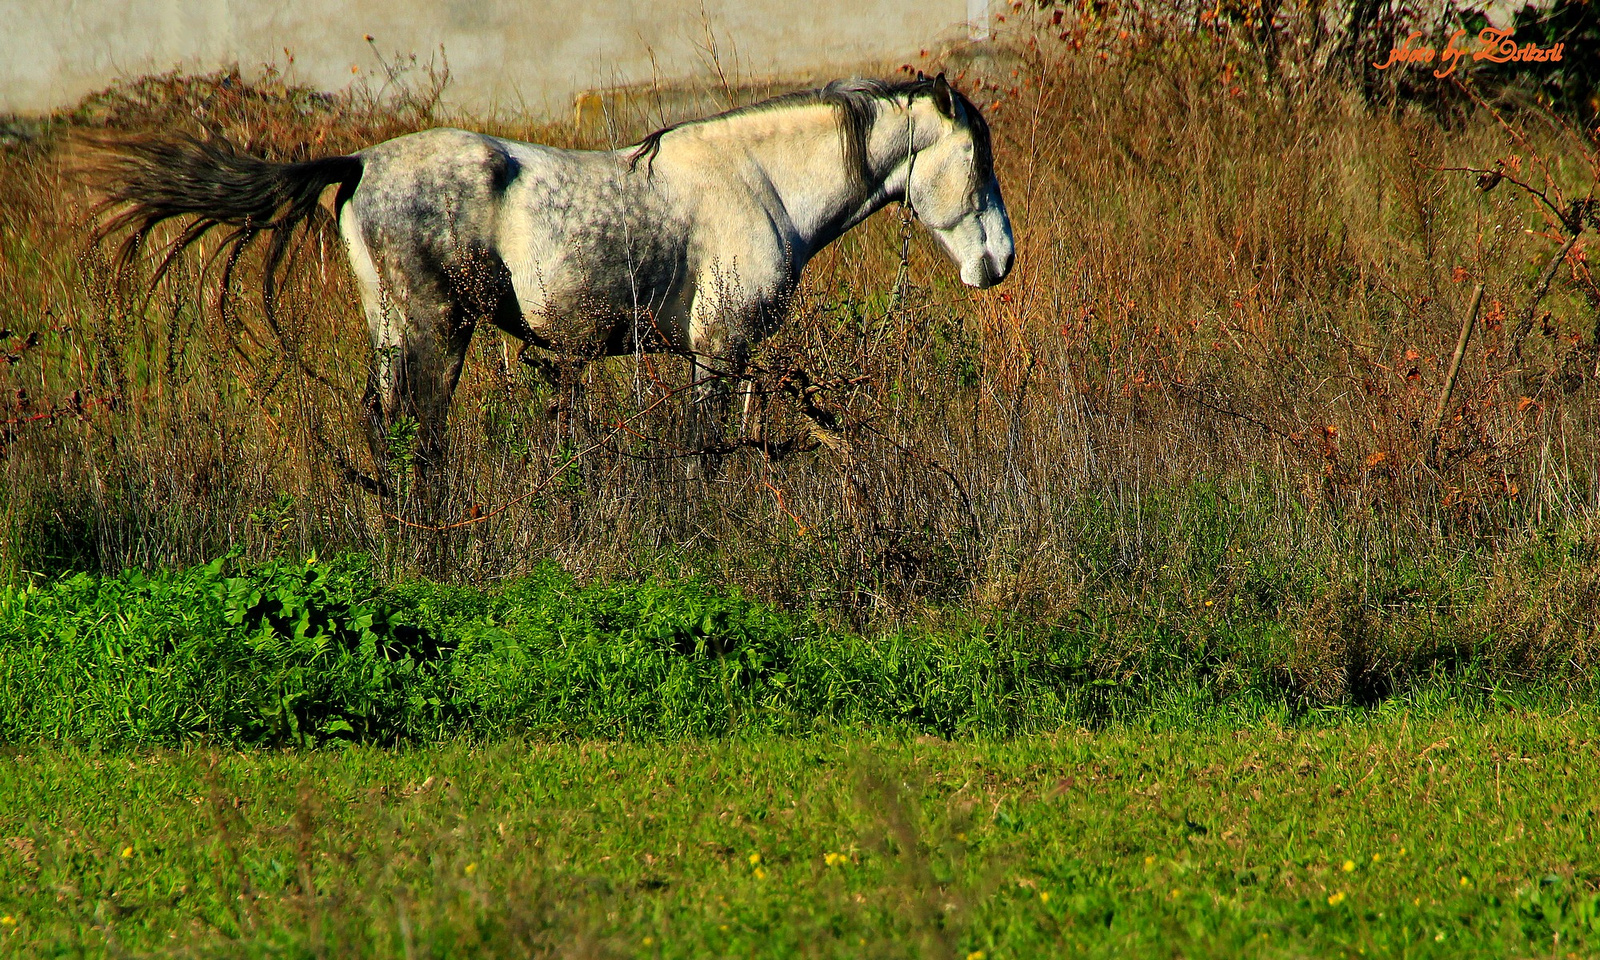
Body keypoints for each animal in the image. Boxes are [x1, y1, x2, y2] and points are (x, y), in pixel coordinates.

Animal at [90, 74, 1011, 492]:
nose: (999, 261)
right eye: (975, 157)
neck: (759, 182)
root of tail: (358, 164)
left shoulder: (733, 356)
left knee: (388, 430)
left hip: (392, 336)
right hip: (434, 333)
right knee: (421, 434)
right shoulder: (718, 351)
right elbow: (705, 451)